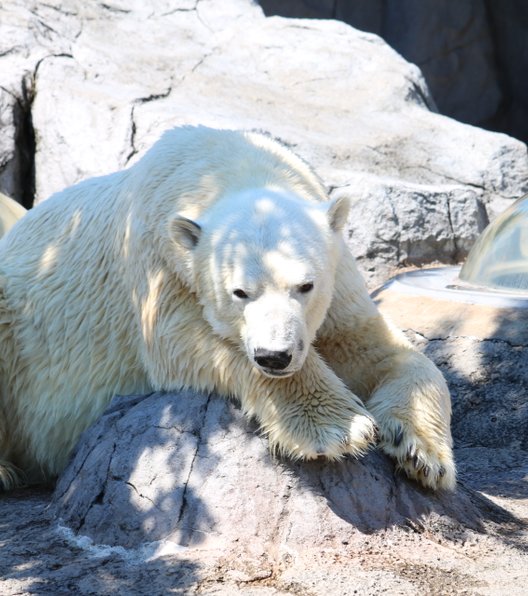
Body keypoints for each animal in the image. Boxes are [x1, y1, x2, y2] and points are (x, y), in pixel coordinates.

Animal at [0, 124, 456, 488]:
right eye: (240, 292)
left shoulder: (338, 280)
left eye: (305, 285)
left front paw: (421, 453)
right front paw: (336, 428)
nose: (274, 356)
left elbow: (373, 346)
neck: (230, 165)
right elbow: (187, 341)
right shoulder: (159, 267)